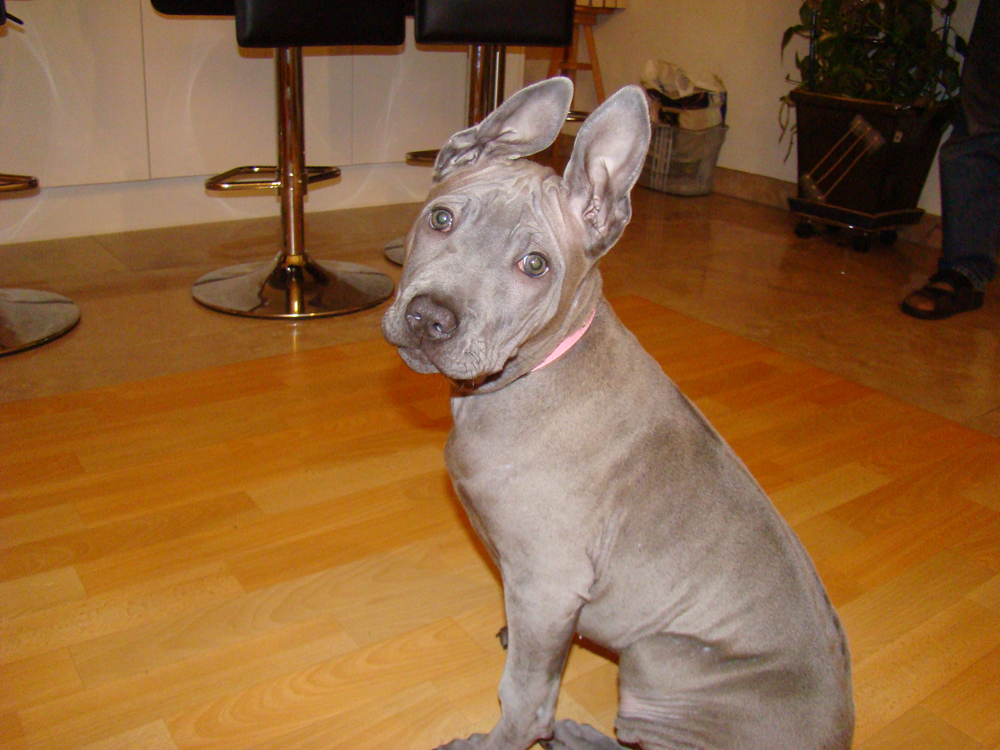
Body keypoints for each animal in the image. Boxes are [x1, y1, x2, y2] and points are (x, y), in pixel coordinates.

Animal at [382, 77, 854, 750]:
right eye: (441, 218)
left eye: (535, 265)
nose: (428, 318)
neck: (543, 364)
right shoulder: (536, 590)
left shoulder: (548, 581)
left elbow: (524, 699)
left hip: (661, 656)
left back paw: (575, 734)